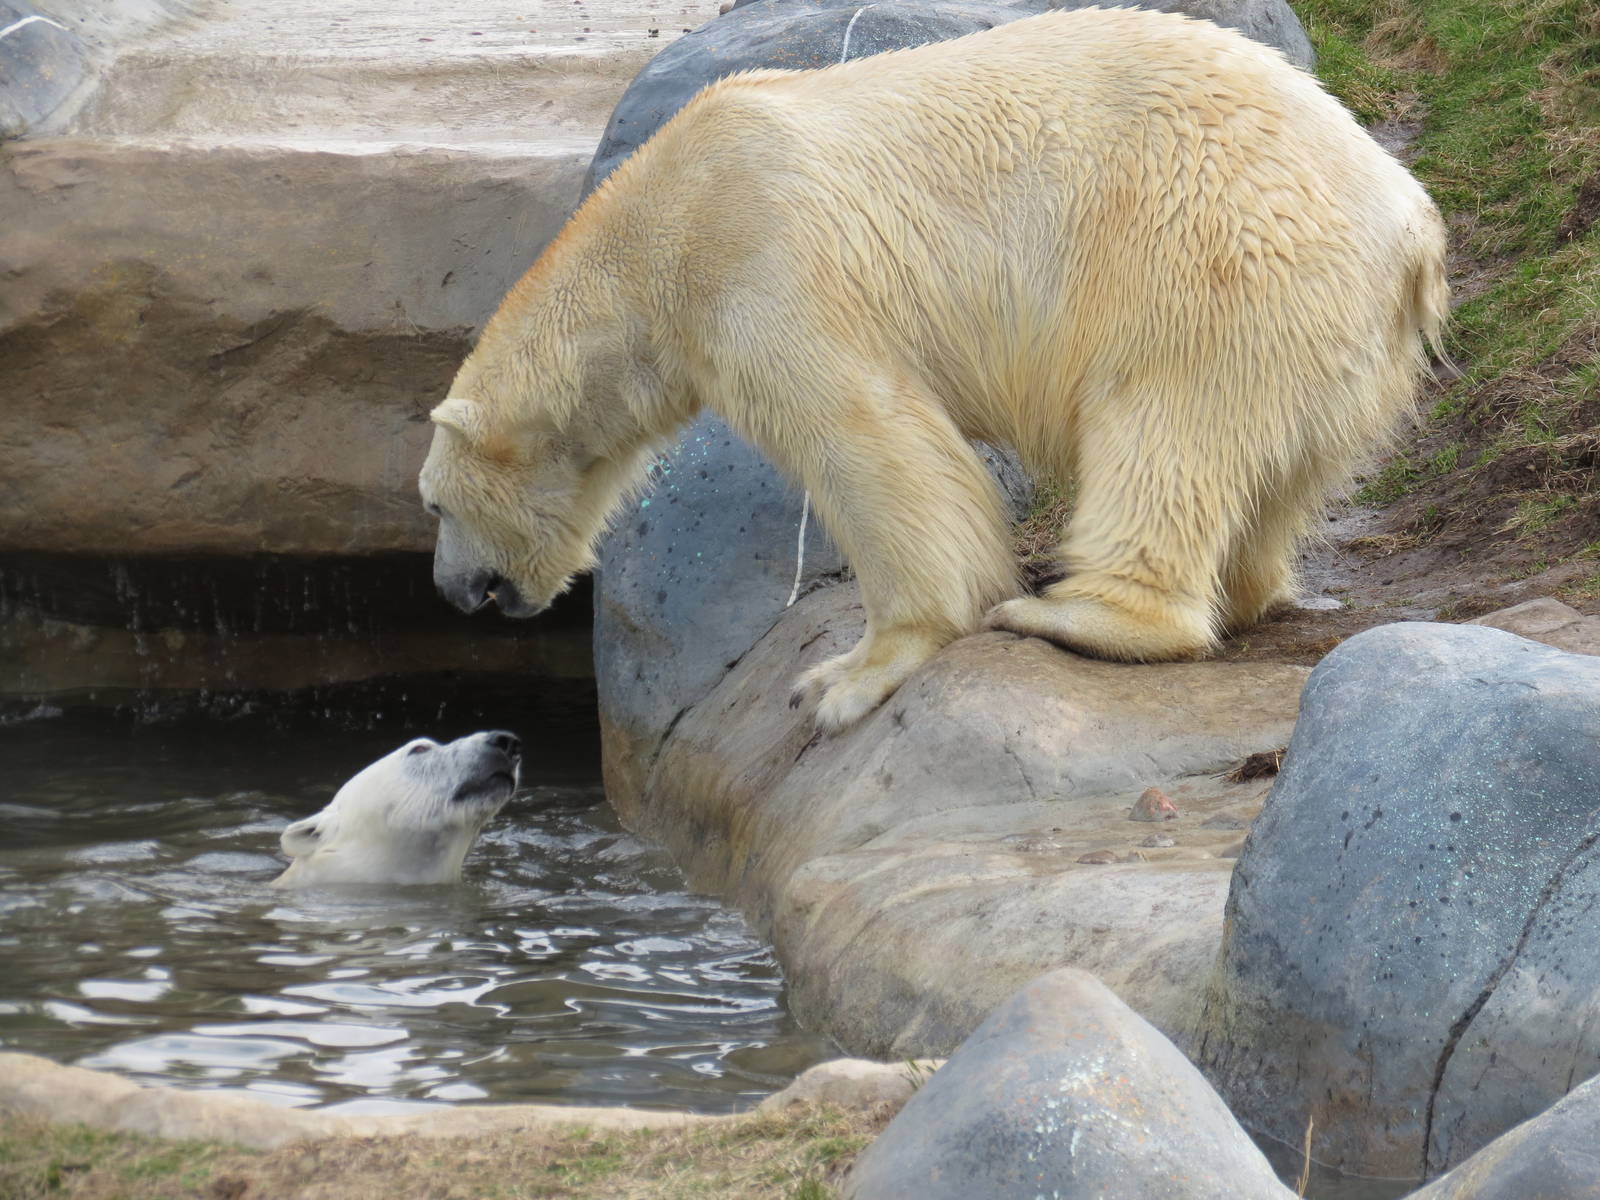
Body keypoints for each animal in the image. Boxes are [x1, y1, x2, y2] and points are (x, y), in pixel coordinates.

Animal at [418, 7, 1448, 732]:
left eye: (434, 505)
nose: (453, 591)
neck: (656, 225)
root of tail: (1410, 222)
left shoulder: (762, 260)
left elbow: (870, 438)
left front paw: (845, 677)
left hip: (1210, 253)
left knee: (1166, 426)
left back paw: (1079, 615)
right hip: (1334, 338)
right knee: (1278, 472)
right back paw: (1245, 587)